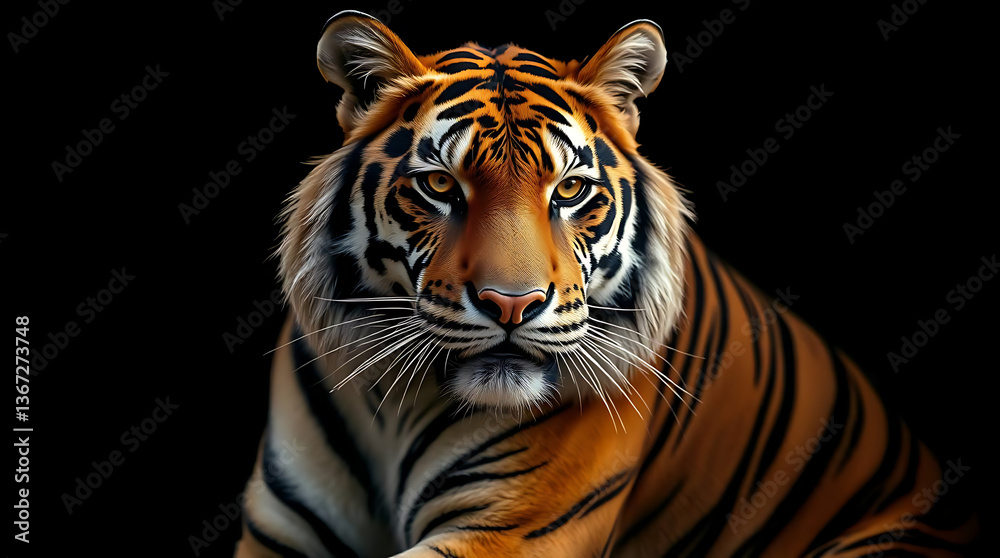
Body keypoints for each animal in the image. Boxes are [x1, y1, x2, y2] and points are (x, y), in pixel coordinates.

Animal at [234, 10, 979, 557]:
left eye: (570, 191)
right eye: (440, 185)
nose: (512, 305)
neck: (395, 407)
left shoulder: (514, 531)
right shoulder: (281, 528)